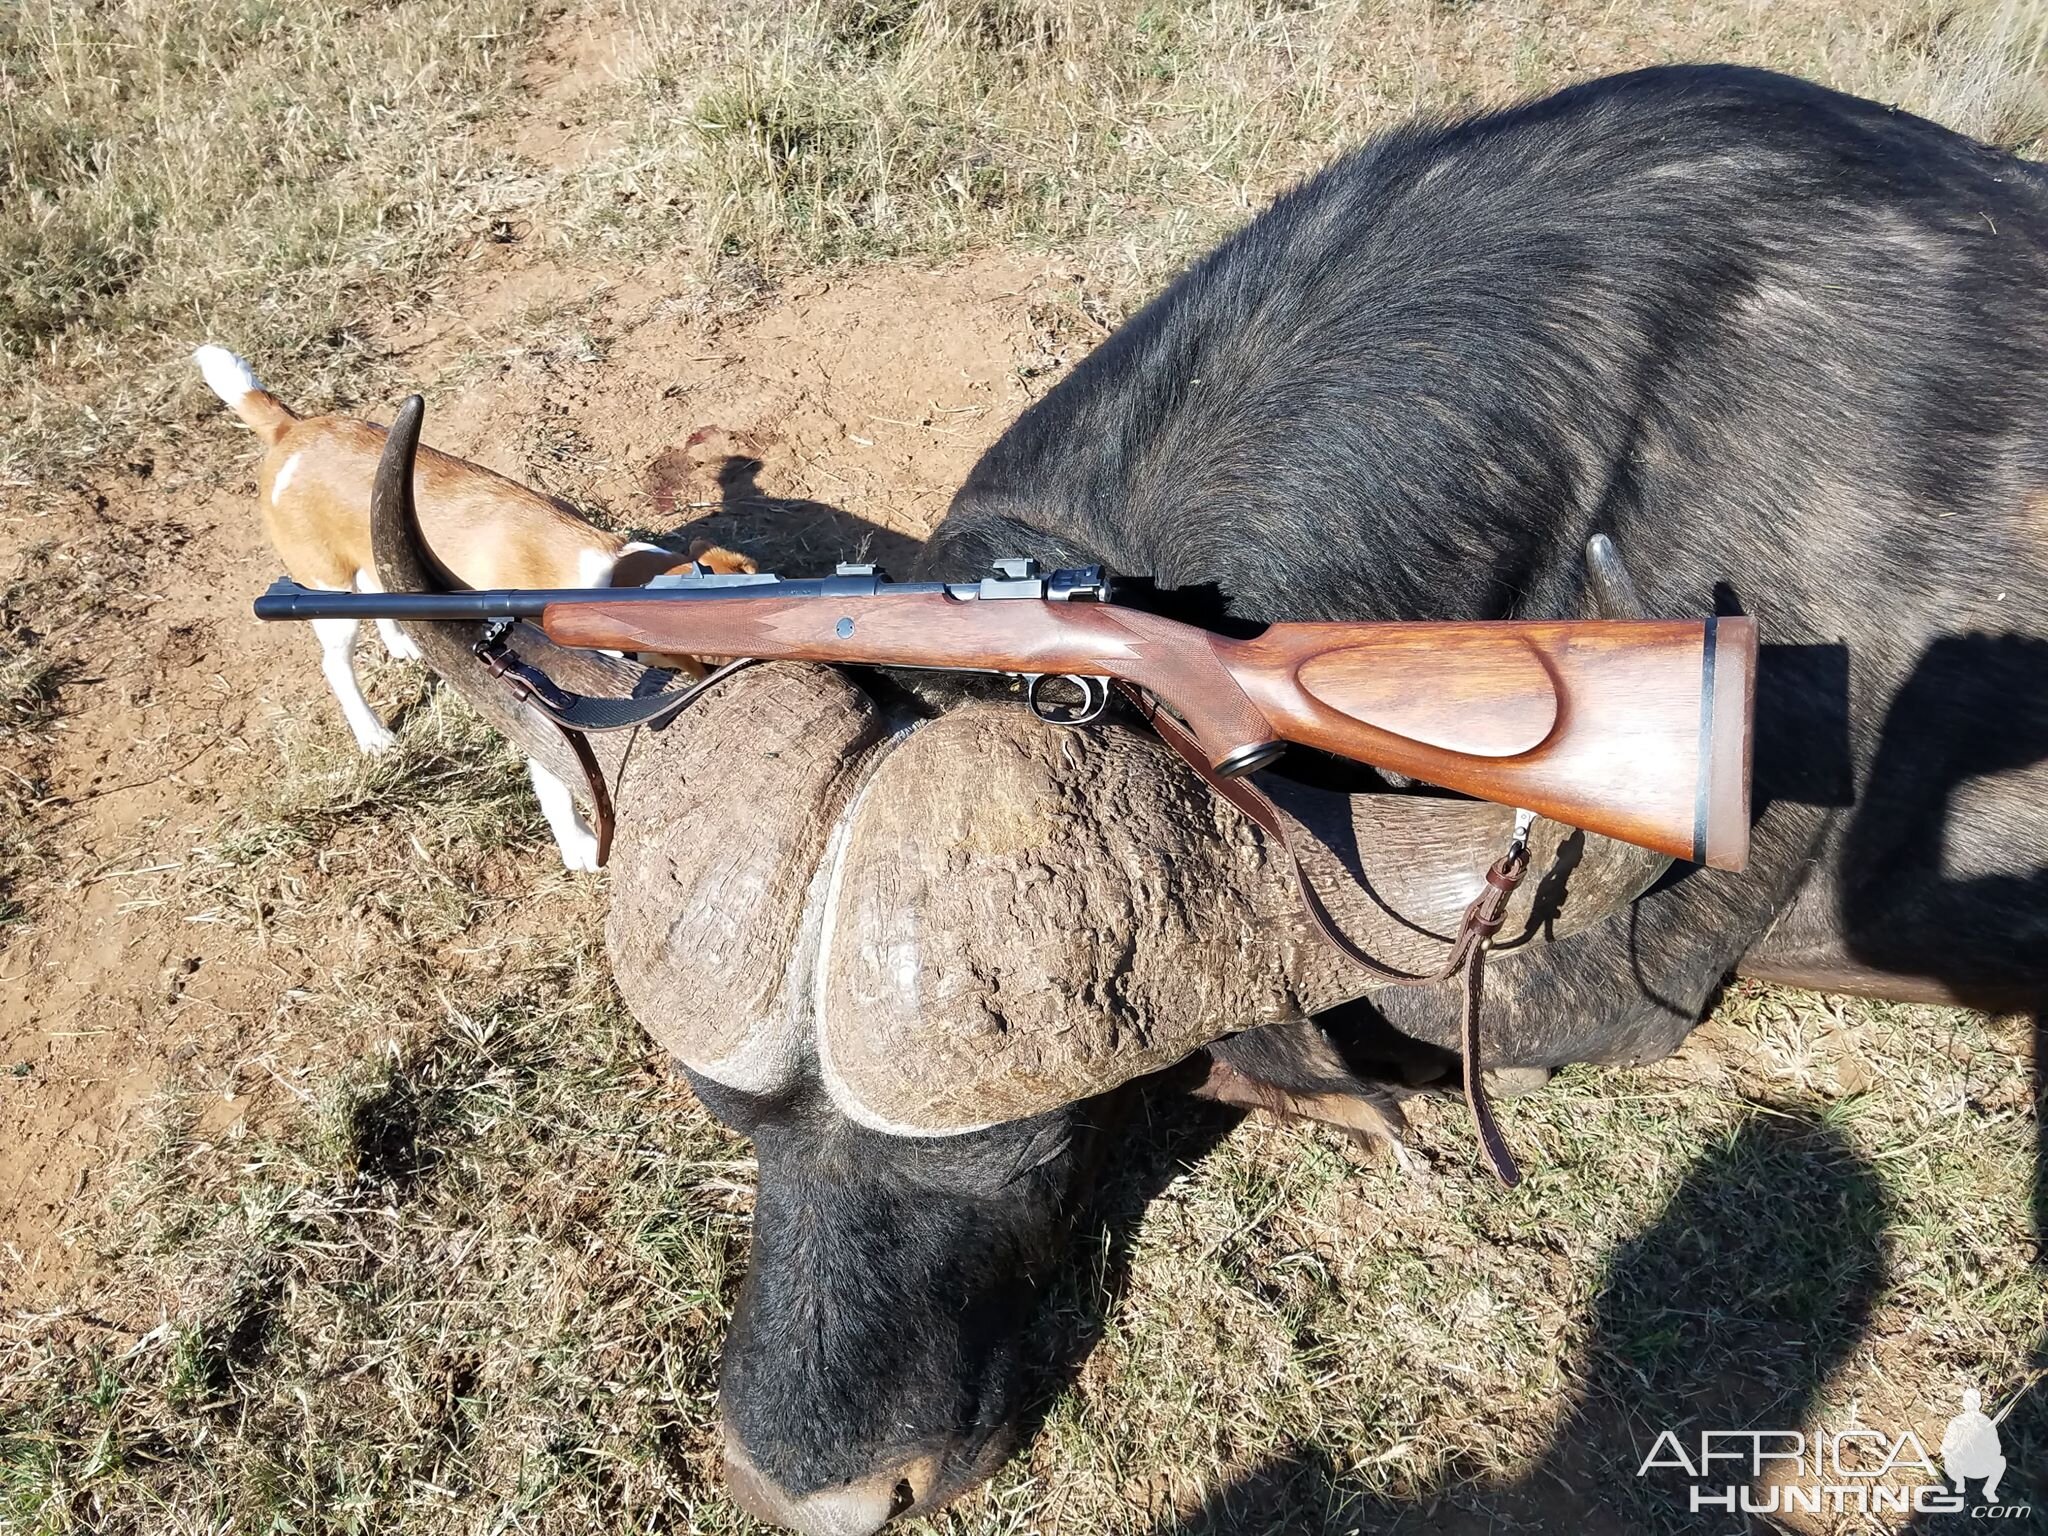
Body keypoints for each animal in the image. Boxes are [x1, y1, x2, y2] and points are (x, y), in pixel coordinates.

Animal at [192, 348, 749, 872]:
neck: (607, 572)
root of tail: (293, 428)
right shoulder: (535, 692)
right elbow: (557, 781)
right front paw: (578, 847)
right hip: (328, 588)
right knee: (337, 663)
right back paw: (372, 733)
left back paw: (403, 640)